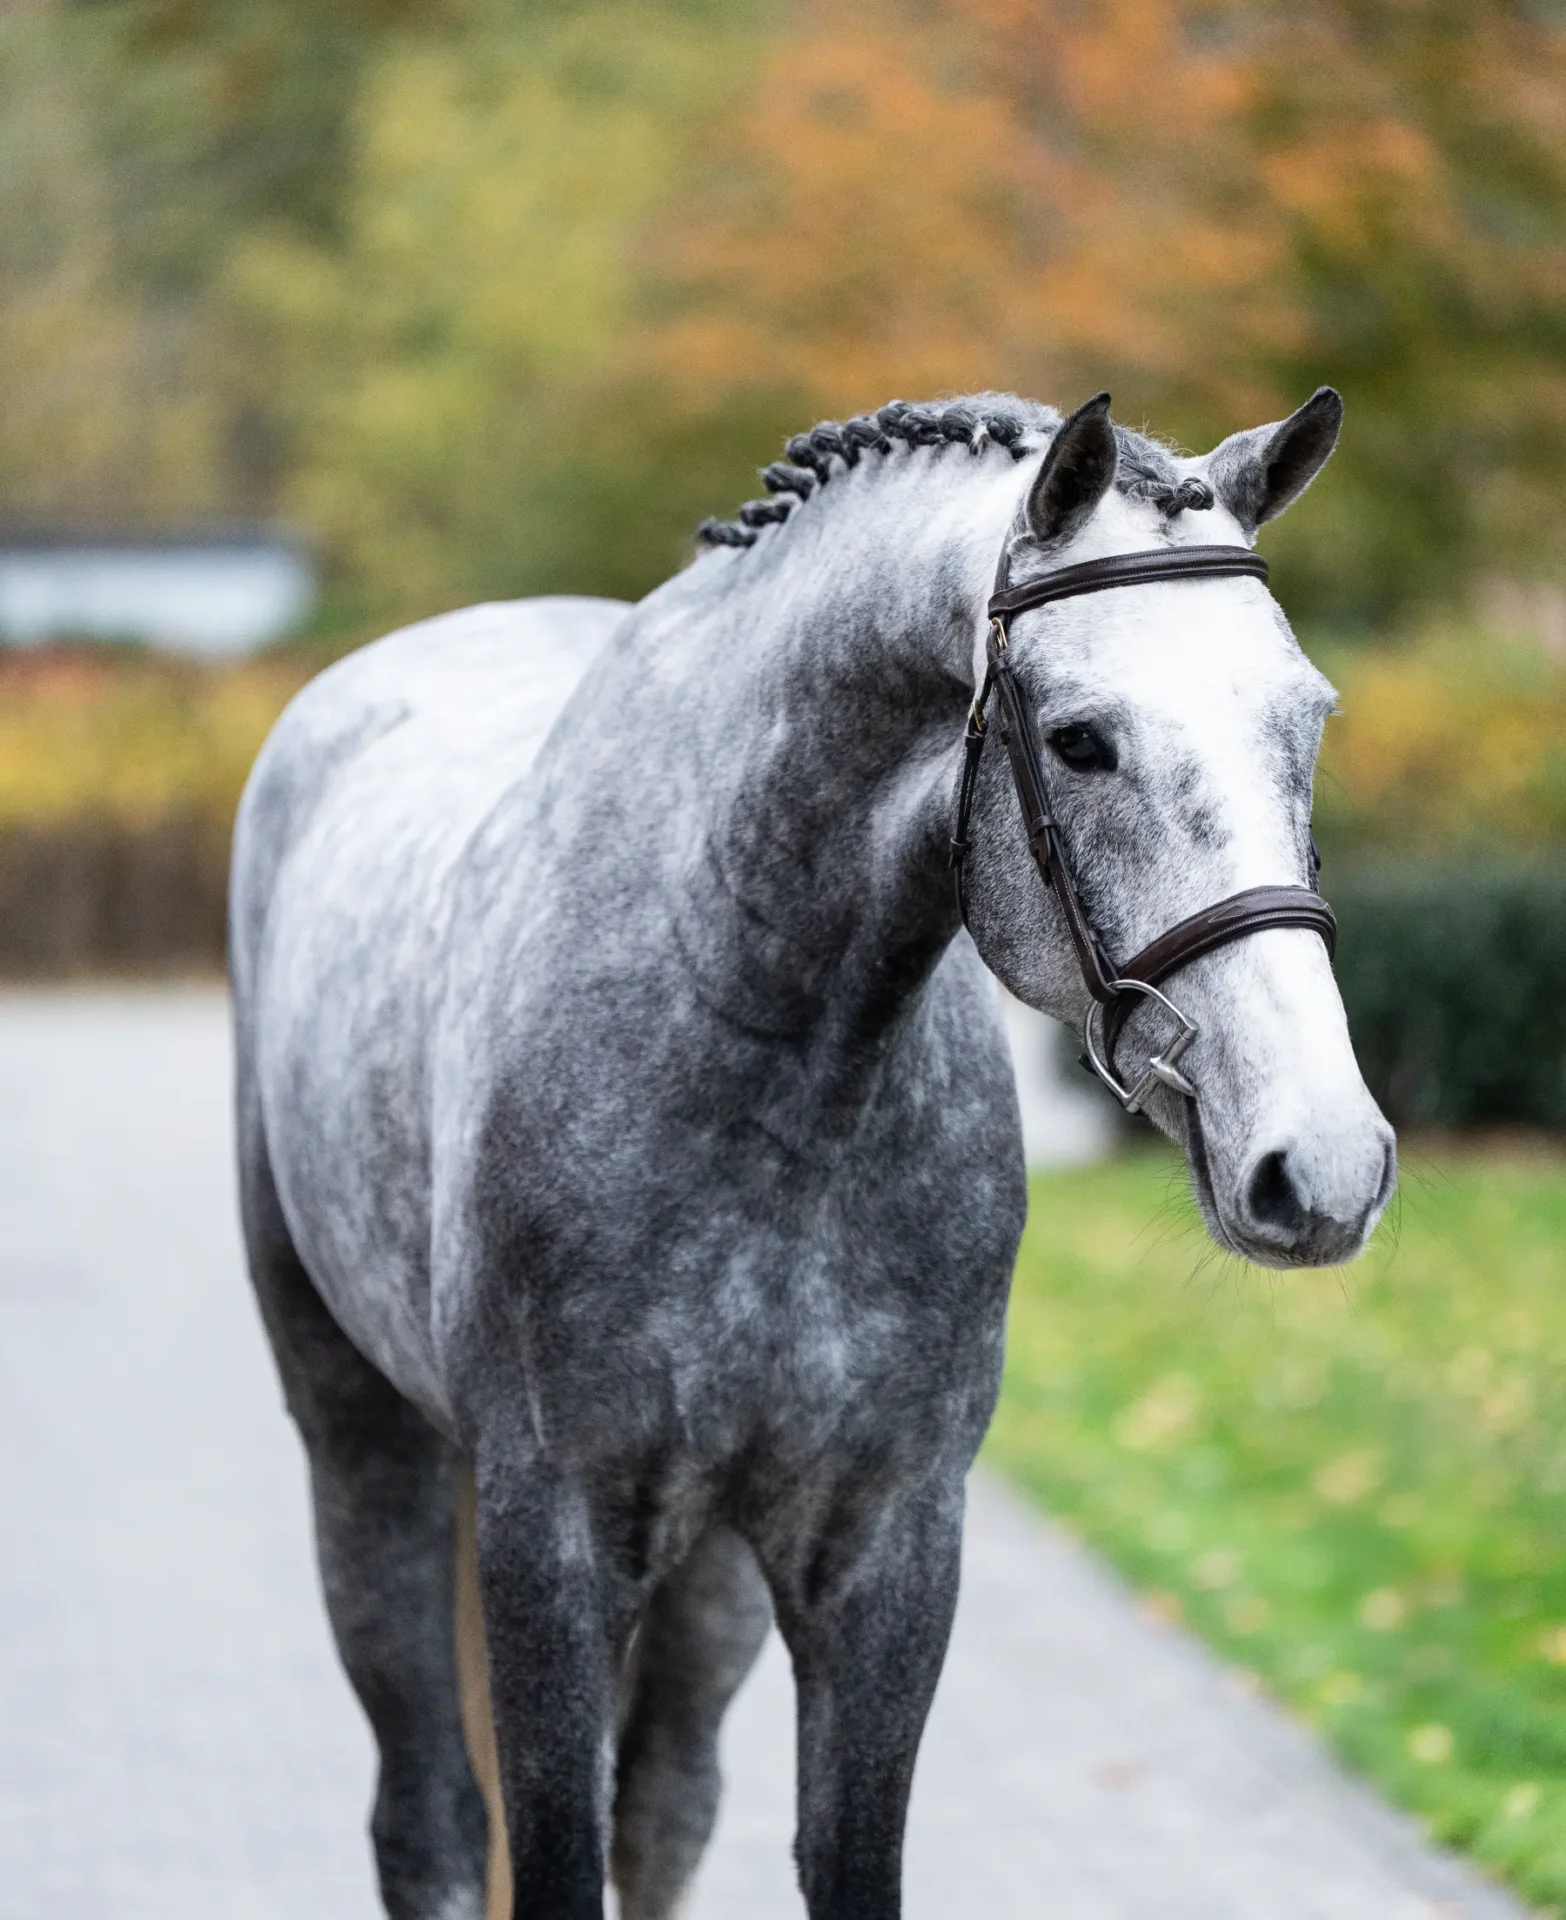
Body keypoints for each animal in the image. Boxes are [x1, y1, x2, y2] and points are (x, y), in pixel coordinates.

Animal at [229, 387, 1395, 1920]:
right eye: (1082, 740)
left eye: (1307, 717)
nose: (1322, 1162)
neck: (753, 1045)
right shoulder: (552, 1541)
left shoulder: (885, 1547)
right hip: (364, 1448)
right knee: (427, 1824)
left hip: (711, 1568)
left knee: (663, 1810)